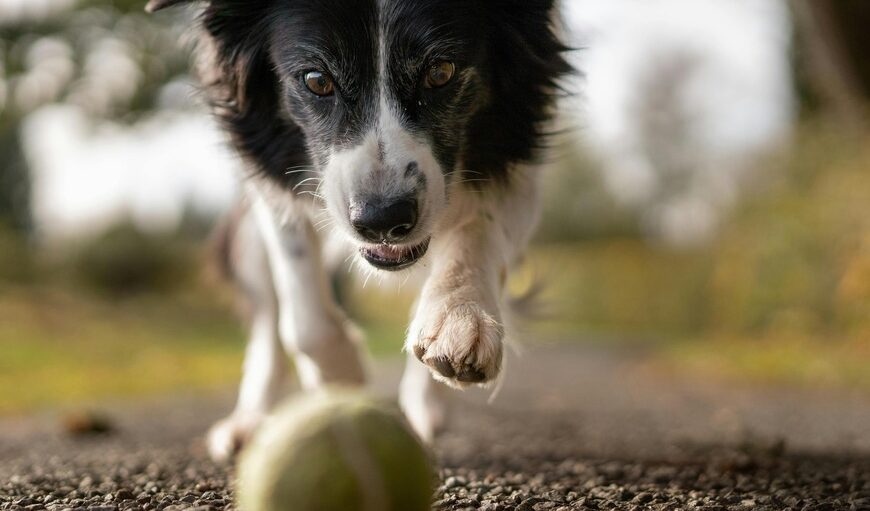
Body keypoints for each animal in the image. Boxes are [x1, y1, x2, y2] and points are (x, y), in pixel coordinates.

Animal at [150, 0, 572, 460]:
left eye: (441, 71)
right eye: (317, 81)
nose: (383, 220)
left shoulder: (518, 151)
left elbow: (477, 229)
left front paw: (459, 320)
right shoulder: (271, 177)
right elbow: (304, 314)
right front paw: (342, 380)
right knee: (267, 317)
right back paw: (249, 422)